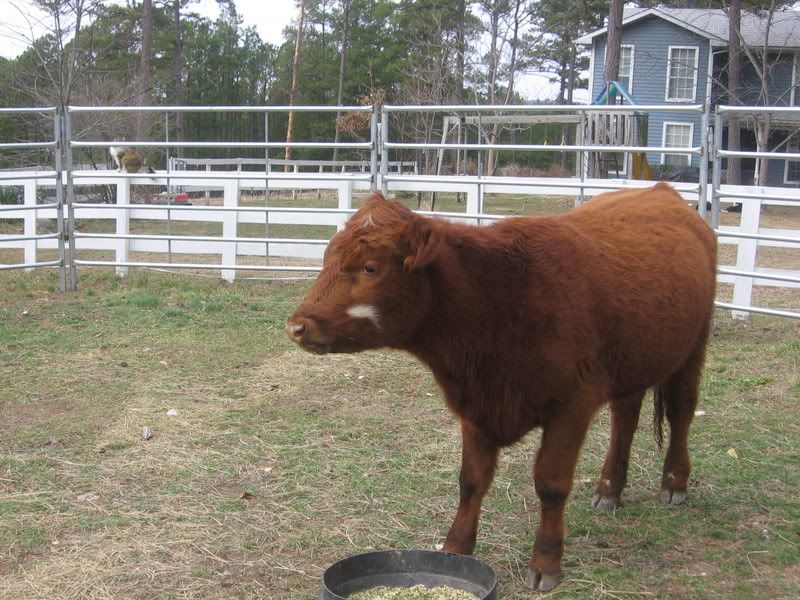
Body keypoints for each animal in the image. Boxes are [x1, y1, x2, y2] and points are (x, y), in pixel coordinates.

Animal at [286, 182, 717, 592]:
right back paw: (610, 489)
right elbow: (471, 481)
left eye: (370, 268)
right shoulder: (475, 407)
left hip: (693, 347)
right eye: (327, 259)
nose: (297, 326)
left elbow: (551, 484)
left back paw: (674, 482)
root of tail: (660, 192)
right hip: (631, 362)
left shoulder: (571, 406)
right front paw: (455, 549)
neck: (501, 300)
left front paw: (546, 563)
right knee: (624, 418)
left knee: (681, 411)